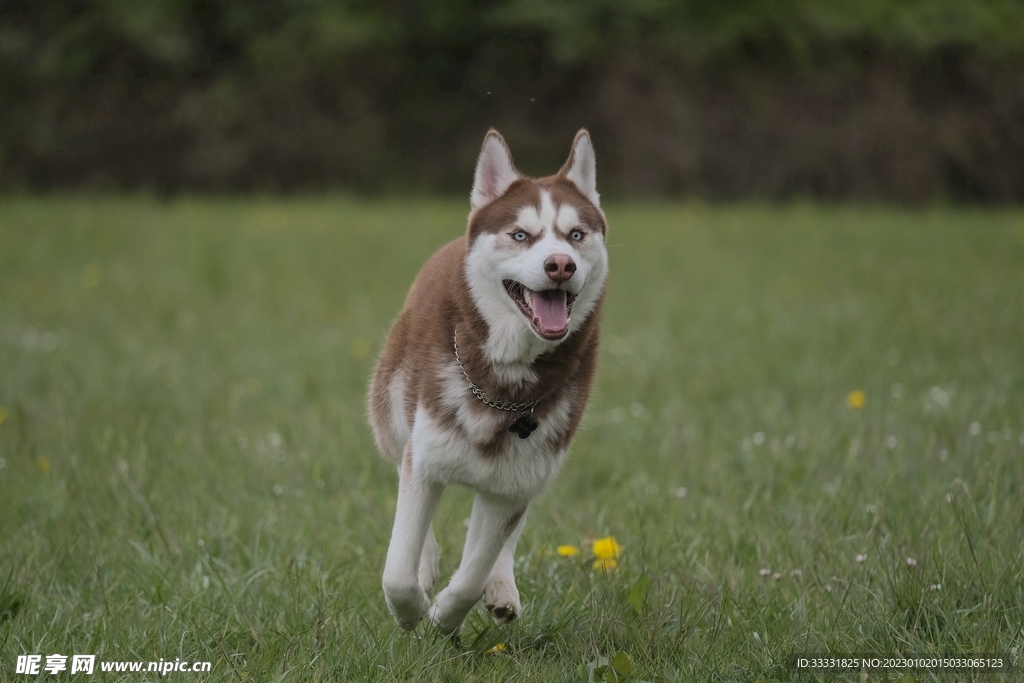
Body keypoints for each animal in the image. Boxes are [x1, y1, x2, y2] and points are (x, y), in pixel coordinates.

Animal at [368, 129, 606, 634]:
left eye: (576, 234)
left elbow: (474, 570)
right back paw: (427, 564)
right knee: (402, 468)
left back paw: (500, 587)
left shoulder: (514, 483)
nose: (561, 264)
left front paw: (444, 616)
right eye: (521, 235)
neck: (505, 385)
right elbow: (398, 571)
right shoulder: (425, 459)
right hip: (392, 412)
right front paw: (413, 611)